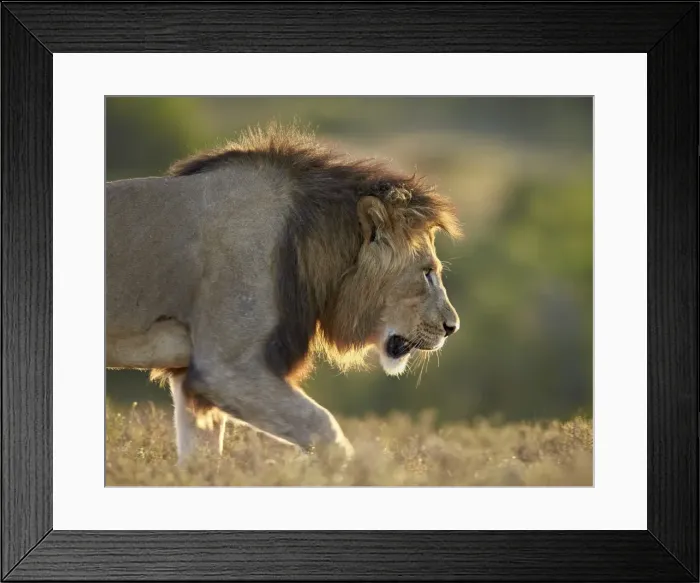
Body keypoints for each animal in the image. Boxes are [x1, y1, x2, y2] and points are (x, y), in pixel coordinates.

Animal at [106, 124, 462, 464]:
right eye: (427, 272)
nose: (452, 328)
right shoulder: (224, 369)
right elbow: (324, 426)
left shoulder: (193, 377)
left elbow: (201, 458)